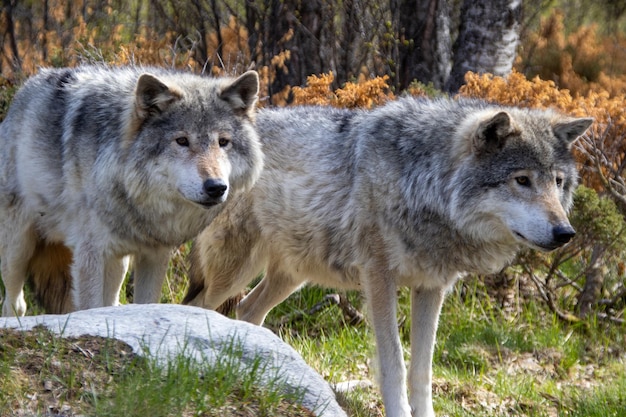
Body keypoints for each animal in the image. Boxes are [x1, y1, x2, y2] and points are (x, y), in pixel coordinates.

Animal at [0, 66, 260, 316]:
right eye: (182, 141)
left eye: (223, 142)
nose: (216, 187)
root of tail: (24, 91)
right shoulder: (89, 254)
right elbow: (89, 308)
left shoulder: (155, 255)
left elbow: (146, 302)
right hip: (18, 250)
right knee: (14, 304)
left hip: (118, 262)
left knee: (111, 301)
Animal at [182, 98, 588, 416]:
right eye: (521, 180)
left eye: (558, 182)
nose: (565, 233)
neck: (424, 183)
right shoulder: (379, 277)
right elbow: (394, 363)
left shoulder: (432, 287)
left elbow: (422, 370)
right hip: (233, 271)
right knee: (197, 306)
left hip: (291, 275)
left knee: (247, 310)